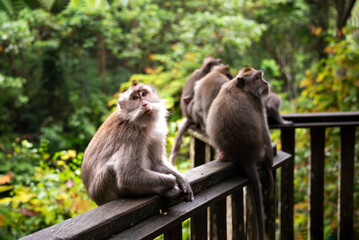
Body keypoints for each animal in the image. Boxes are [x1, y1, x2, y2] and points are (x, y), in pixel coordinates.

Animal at [207, 66, 274, 240]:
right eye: (257, 78)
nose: (266, 83)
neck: (239, 88)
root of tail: (247, 157)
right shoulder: (258, 103)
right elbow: (265, 131)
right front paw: (271, 161)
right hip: (260, 152)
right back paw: (266, 164)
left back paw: (222, 155)